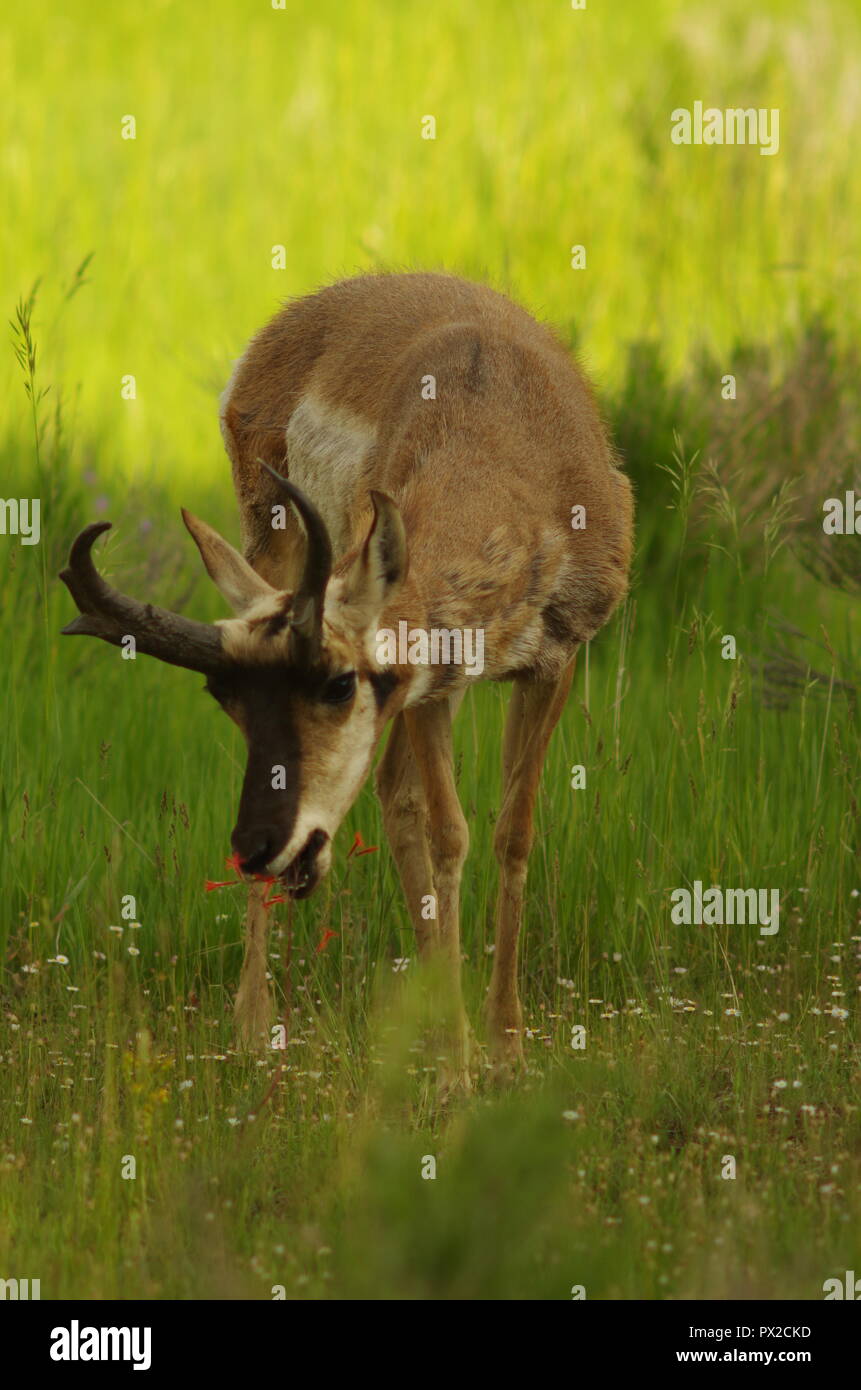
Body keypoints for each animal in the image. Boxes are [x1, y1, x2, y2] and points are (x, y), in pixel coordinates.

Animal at [60, 271, 634, 1084]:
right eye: (226, 698)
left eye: (339, 685)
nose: (262, 846)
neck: (503, 456)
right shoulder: (431, 684)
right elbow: (448, 832)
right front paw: (459, 1069)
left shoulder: (549, 661)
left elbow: (510, 834)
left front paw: (505, 1047)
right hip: (272, 549)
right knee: (398, 801)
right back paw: (255, 1024)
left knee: (393, 795)